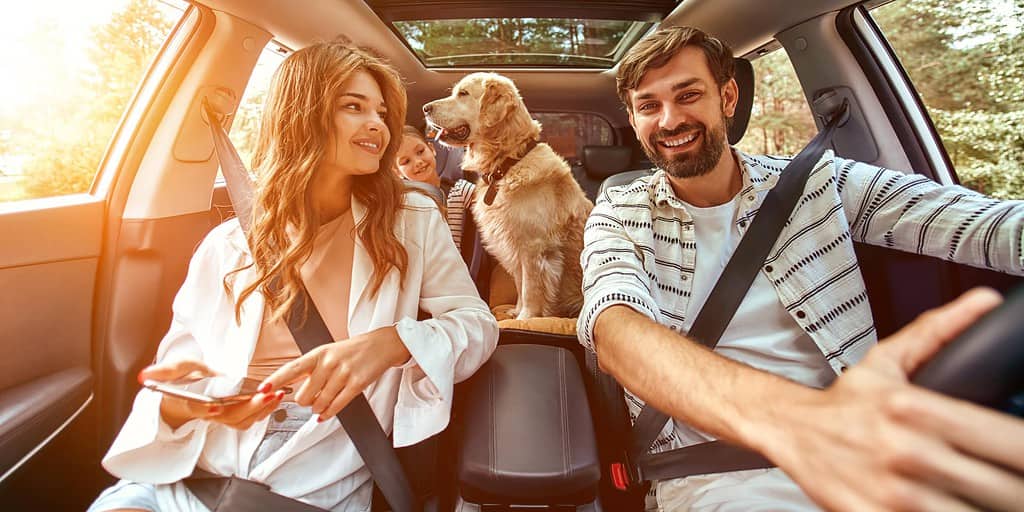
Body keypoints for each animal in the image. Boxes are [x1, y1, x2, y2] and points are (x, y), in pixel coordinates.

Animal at [421, 73, 593, 319]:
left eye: (463, 93)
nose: (425, 108)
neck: (508, 163)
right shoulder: (512, 243)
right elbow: (520, 284)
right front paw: (516, 311)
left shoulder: (533, 247)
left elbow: (530, 288)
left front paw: (526, 318)